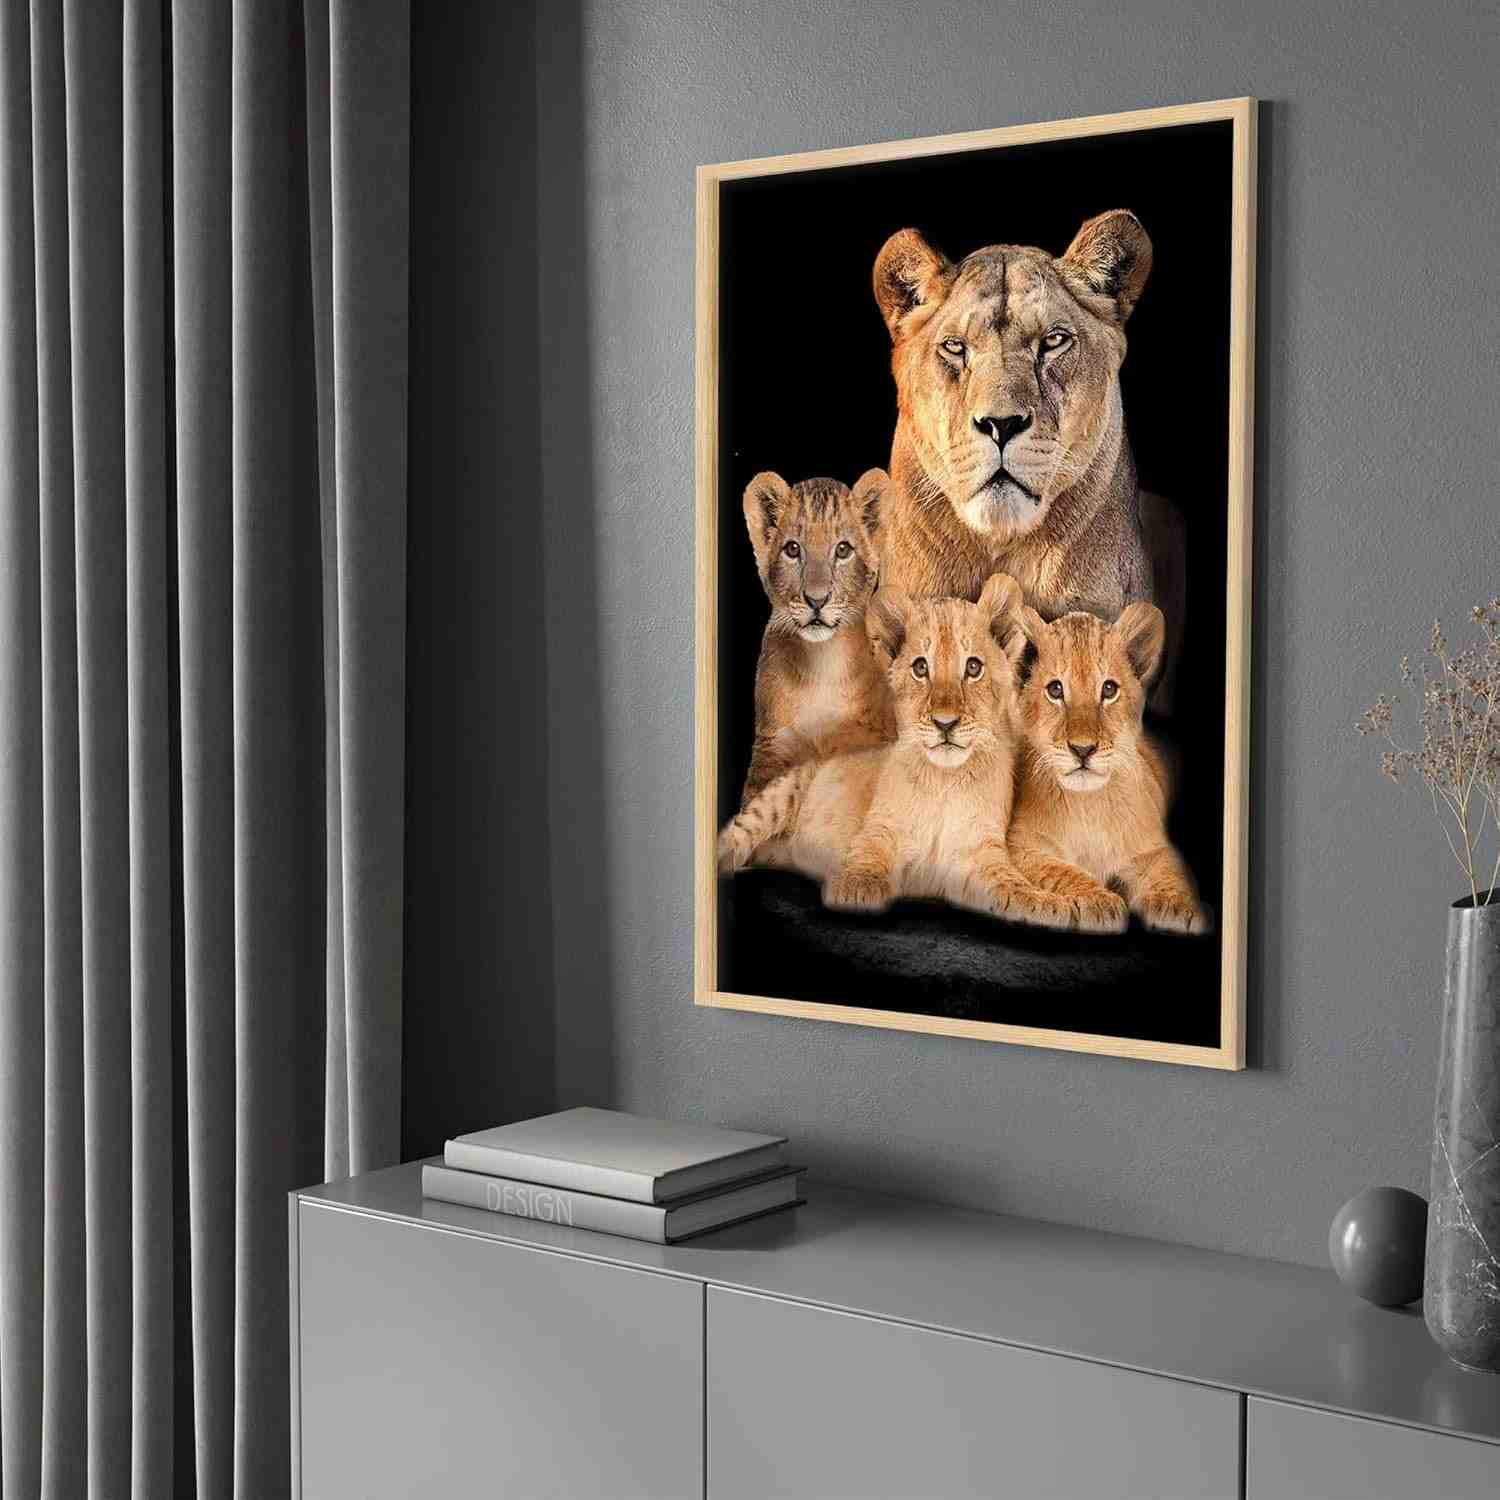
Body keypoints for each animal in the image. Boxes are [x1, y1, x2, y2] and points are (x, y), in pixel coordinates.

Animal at [718, 574, 1079, 930]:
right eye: (920, 668)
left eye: (973, 667)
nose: (945, 723)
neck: (943, 780)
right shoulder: (879, 829)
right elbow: (867, 855)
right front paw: (855, 887)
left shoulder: (978, 851)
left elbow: (1009, 882)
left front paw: (1046, 903)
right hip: (780, 795)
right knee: (740, 831)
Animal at [1007, 600, 1211, 935]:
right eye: (1055, 690)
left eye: (1109, 689)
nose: (1083, 749)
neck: (1089, 804)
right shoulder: (1023, 846)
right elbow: (1062, 871)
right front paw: (1098, 901)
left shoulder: (1153, 847)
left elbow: (1170, 872)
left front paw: (1181, 906)